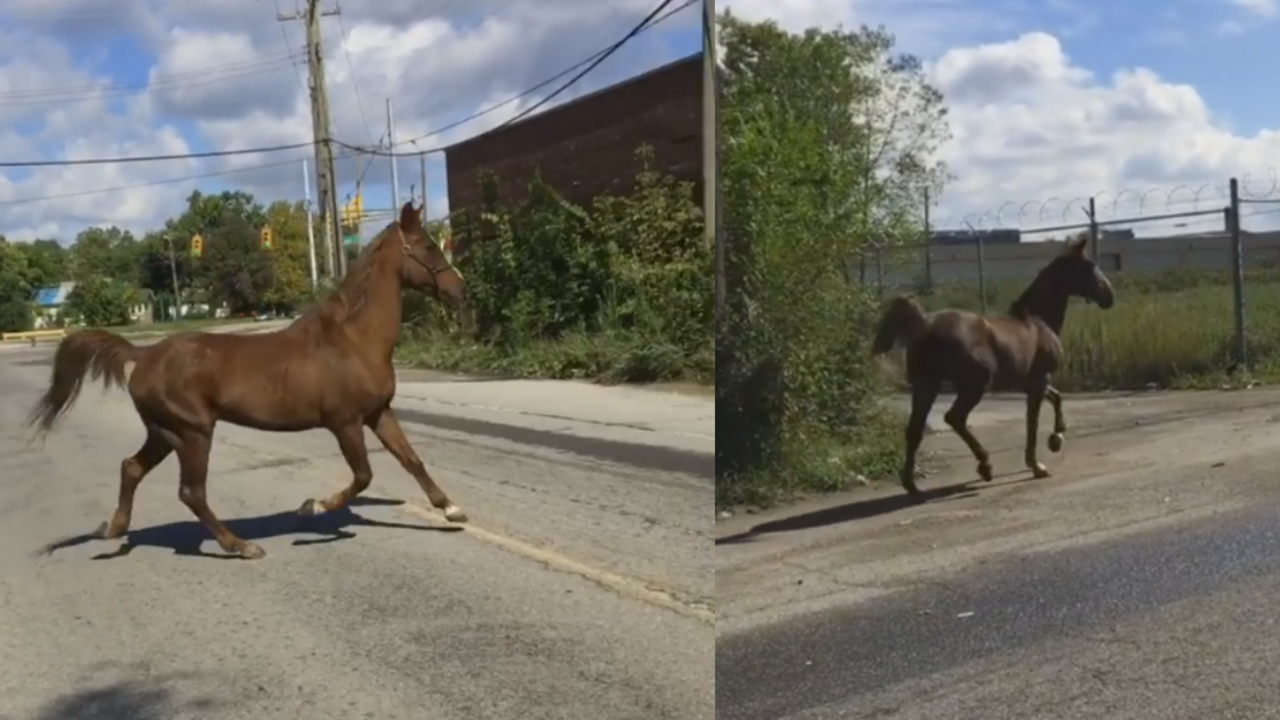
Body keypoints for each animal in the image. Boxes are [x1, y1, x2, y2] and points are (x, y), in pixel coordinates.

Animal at [26, 201, 468, 559]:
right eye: (428, 247)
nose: (459, 290)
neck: (354, 339)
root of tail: (144, 354)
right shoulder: (345, 422)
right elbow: (364, 475)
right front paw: (312, 507)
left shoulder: (378, 413)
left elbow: (411, 460)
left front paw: (452, 509)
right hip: (192, 432)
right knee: (191, 491)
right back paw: (240, 546)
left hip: (165, 432)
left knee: (132, 468)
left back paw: (112, 528)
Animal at [870, 234, 1115, 502]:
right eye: (1089, 266)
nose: (1109, 295)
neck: (1037, 321)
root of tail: (926, 324)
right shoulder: (1038, 382)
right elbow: (1032, 422)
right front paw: (1038, 465)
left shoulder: (1030, 382)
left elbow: (1057, 398)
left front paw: (1056, 438)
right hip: (973, 386)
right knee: (954, 418)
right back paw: (985, 467)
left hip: (927, 385)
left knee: (915, 429)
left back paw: (912, 486)